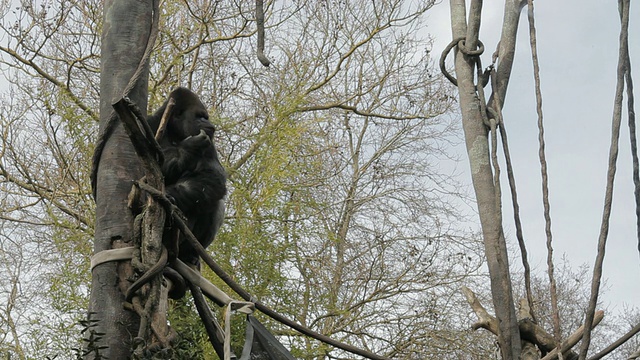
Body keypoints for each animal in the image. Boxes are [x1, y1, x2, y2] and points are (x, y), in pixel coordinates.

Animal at [146, 87, 226, 268]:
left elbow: (212, 178)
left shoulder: (209, 143)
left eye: (205, 117)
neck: (173, 131)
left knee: (213, 201)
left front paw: (172, 194)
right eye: (199, 116)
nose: (210, 125)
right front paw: (188, 149)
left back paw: (189, 254)